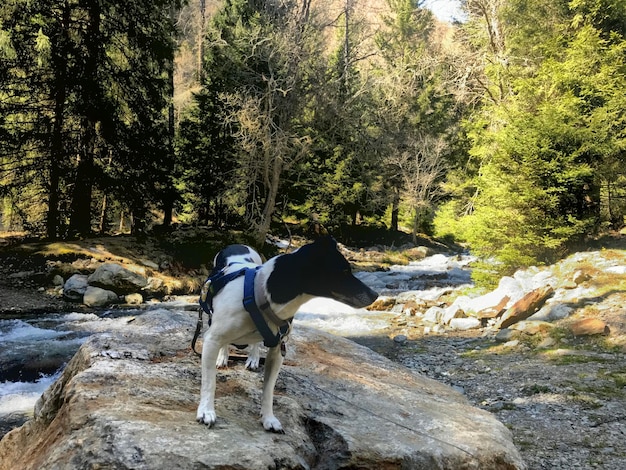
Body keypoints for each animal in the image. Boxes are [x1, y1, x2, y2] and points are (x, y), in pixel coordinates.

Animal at [195, 237, 378, 432]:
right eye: (343, 271)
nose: (375, 295)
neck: (262, 296)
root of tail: (236, 245)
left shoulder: (277, 351)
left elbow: (268, 390)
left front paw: (269, 418)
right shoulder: (212, 340)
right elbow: (209, 382)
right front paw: (206, 411)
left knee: (254, 344)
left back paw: (253, 358)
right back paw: (223, 356)